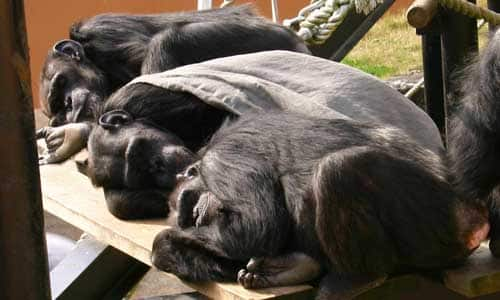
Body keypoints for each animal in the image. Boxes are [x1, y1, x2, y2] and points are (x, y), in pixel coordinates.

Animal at [37, 4, 308, 163]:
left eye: (60, 83)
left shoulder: (103, 34)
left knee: (170, 39)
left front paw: (75, 132)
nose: (70, 105)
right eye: (58, 106)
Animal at [152, 112, 488, 298]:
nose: (198, 218)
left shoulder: (226, 158)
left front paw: (167, 238)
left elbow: (256, 227)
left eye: (191, 210)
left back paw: (352, 280)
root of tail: (476, 222)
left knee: (339, 169)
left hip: (439, 230)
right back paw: (293, 269)